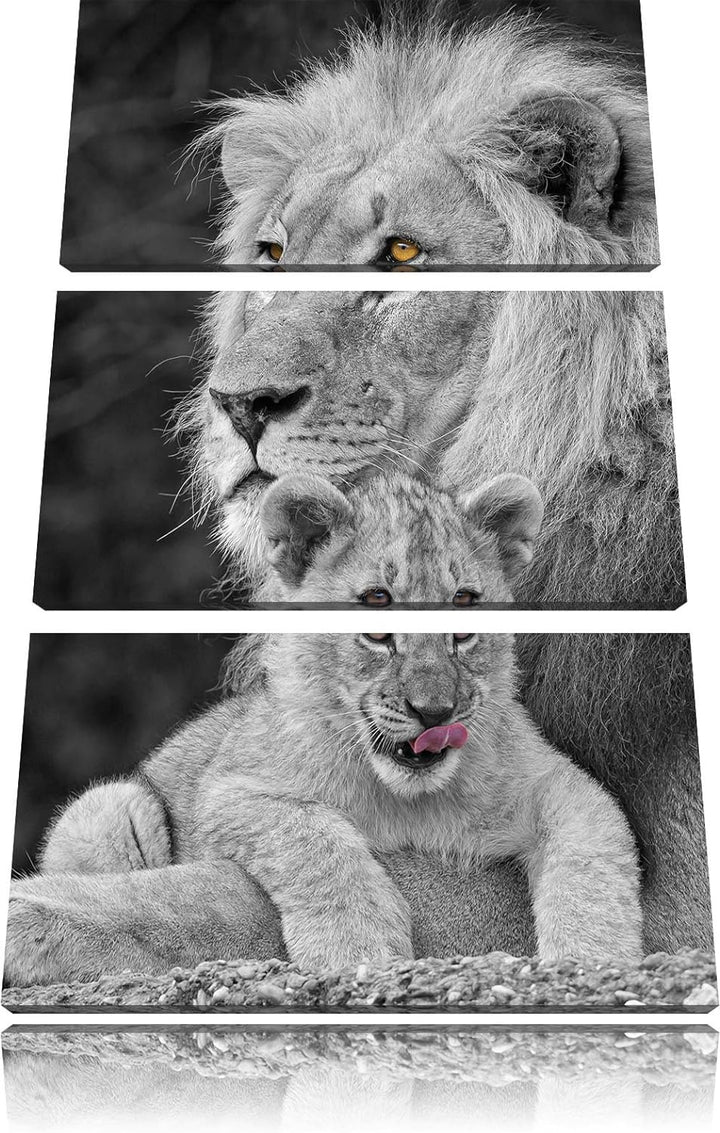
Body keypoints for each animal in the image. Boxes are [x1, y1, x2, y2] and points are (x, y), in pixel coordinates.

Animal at [6, 633, 641, 984]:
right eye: (378, 639)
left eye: (463, 638)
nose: (433, 711)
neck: (411, 798)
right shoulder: (234, 789)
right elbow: (310, 838)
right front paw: (358, 948)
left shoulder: (550, 781)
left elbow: (592, 855)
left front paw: (592, 960)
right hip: (111, 807)